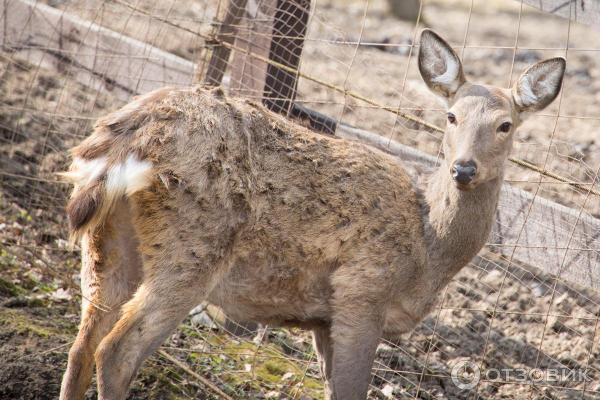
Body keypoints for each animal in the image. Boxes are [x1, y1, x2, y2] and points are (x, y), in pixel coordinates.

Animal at [61, 28, 568, 400]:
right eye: (450, 117)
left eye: (505, 125)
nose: (464, 168)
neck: (428, 251)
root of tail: (133, 132)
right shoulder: (361, 294)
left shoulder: (324, 319)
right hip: (191, 248)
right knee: (115, 352)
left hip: (110, 238)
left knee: (81, 347)